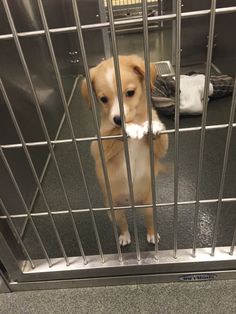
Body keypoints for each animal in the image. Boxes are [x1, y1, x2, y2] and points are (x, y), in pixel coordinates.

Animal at [81, 55, 168, 247]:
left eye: (130, 93)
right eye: (103, 99)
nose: (118, 119)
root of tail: (132, 203)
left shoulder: (160, 150)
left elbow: (159, 136)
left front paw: (152, 125)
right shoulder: (97, 147)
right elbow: (113, 134)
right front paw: (129, 128)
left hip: (150, 207)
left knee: (150, 222)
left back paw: (152, 235)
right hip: (114, 211)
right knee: (123, 224)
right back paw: (125, 237)